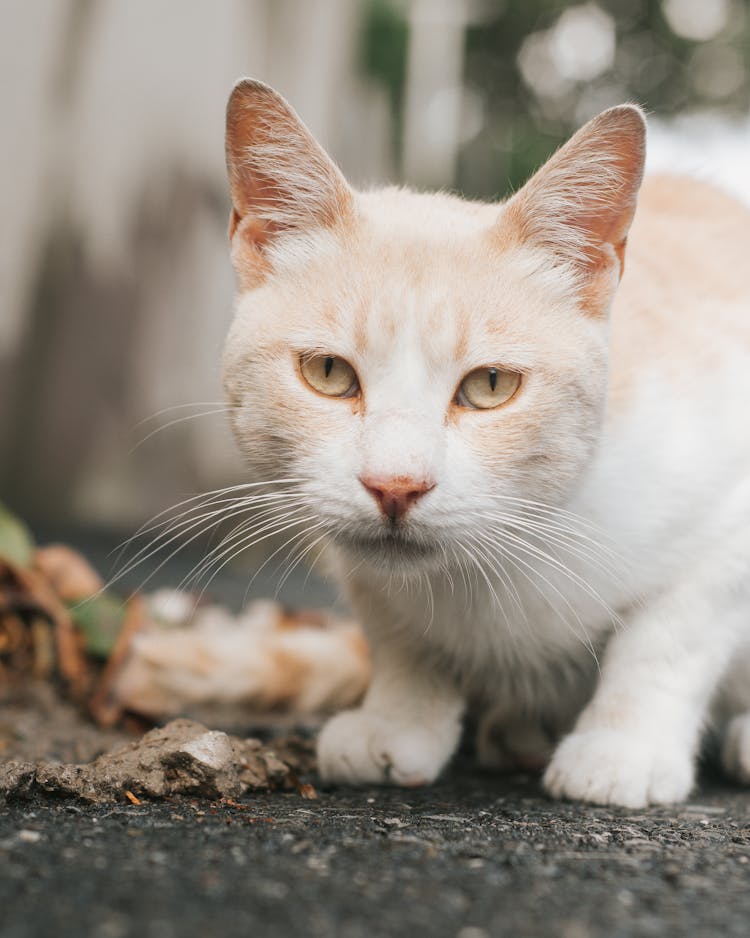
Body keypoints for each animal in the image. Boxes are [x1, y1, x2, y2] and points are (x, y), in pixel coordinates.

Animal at [220, 78, 750, 804]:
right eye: (328, 373)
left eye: (491, 385)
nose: (395, 486)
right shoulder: (361, 565)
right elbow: (398, 631)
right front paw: (399, 718)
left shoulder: (728, 523)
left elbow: (666, 640)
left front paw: (622, 746)